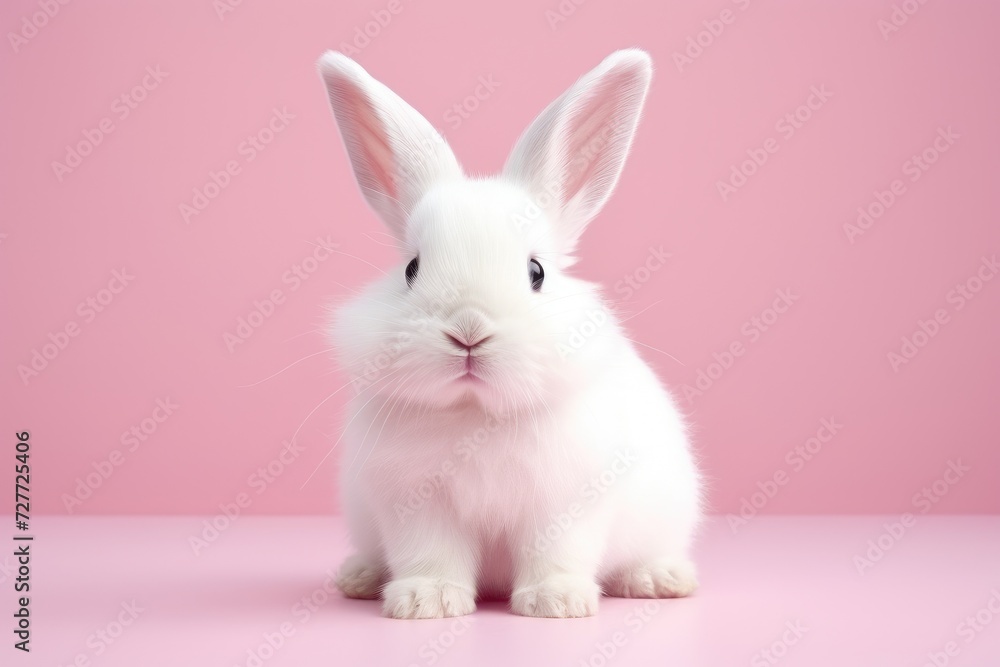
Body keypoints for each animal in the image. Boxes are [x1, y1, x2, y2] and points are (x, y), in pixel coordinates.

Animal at [317, 48, 702, 619]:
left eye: (536, 272)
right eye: (411, 268)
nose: (469, 331)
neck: (477, 413)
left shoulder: (567, 500)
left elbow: (555, 551)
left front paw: (556, 602)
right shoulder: (415, 504)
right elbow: (431, 555)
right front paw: (425, 601)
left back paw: (660, 579)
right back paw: (359, 577)